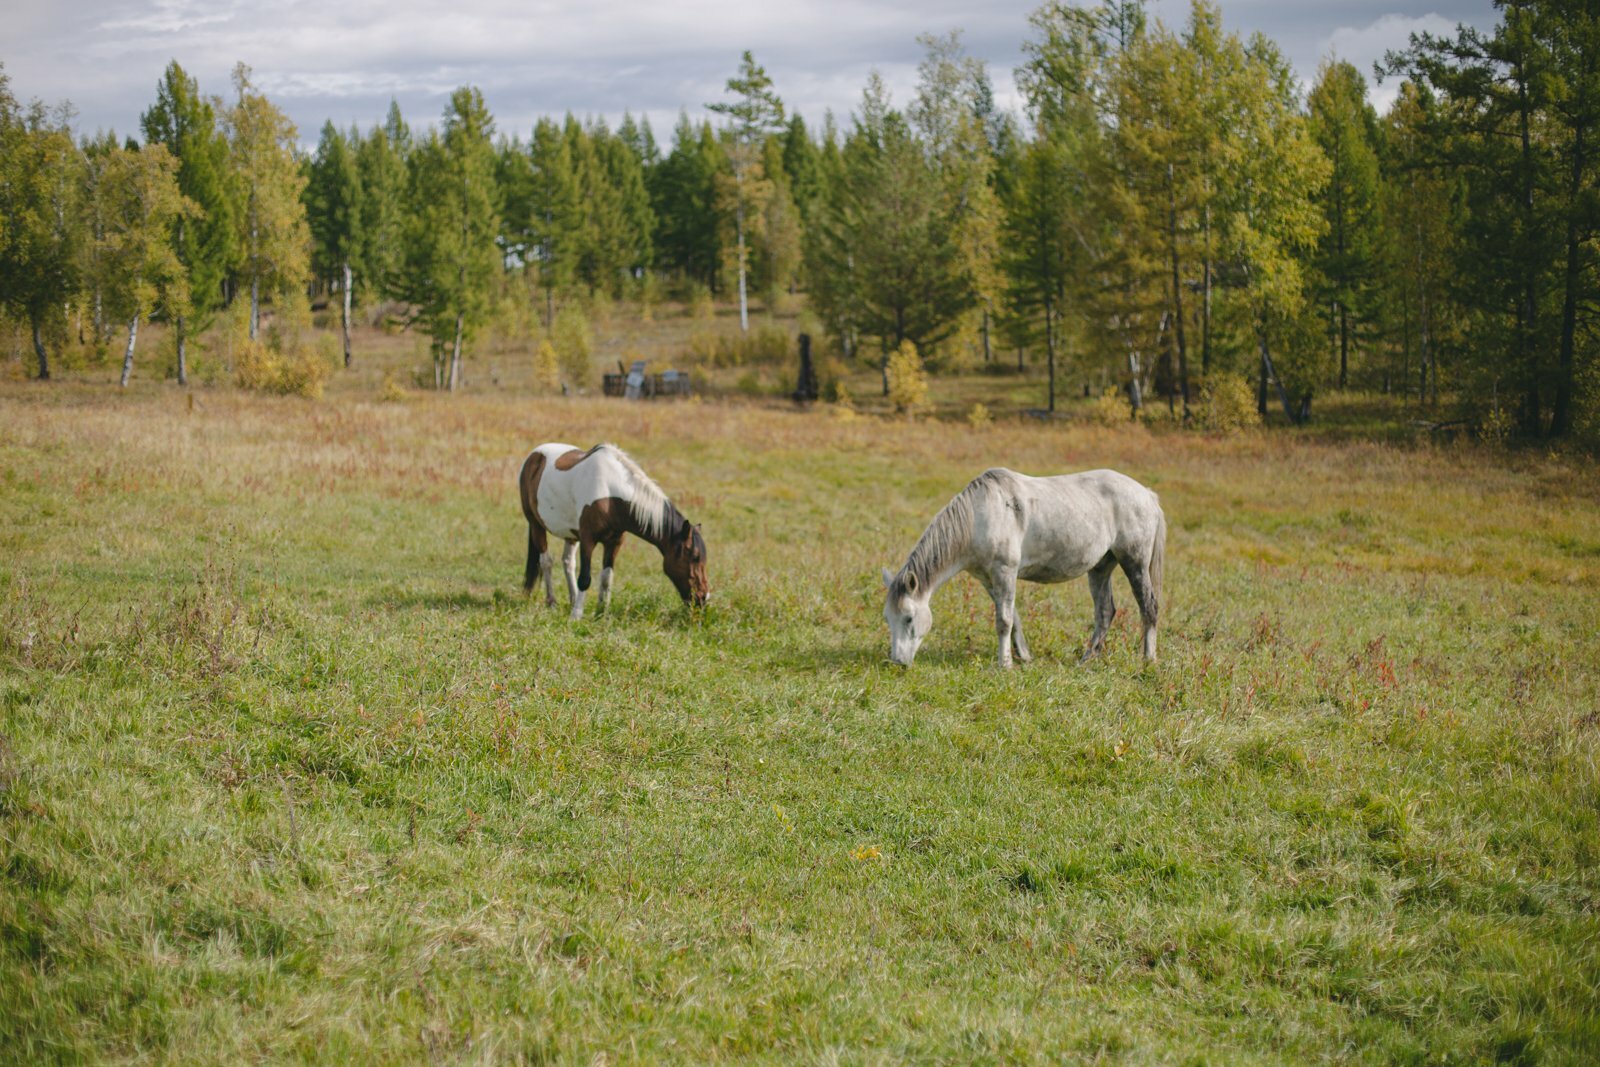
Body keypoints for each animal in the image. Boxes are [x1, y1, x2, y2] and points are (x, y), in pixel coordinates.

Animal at [518, 441, 707, 617]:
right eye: (695, 557)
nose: (703, 598)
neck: (609, 494)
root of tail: (535, 454)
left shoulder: (614, 542)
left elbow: (606, 578)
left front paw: (602, 612)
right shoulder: (588, 539)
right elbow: (585, 578)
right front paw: (577, 616)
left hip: (571, 535)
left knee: (568, 562)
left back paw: (572, 599)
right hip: (536, 525)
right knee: (546, 562)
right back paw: (552, 602)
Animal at [883, 467, 1171, 668]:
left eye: (909, 618)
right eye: (888, 618)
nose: (898, 662)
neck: (981, 514)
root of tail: (1147, 494)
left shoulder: (1005, 571)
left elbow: (1004, 620)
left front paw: (1005, 664)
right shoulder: (989, 578)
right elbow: (1013, 618)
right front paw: (1023, 656)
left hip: (1134, 562)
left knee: (1148, 607)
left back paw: (1148, 660)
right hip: (1101, 567)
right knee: (1105, 612)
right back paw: (1087, 659)